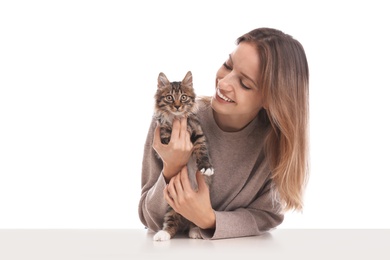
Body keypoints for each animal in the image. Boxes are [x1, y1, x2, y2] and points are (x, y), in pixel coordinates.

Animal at [152, 70, 215, 242]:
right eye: (169, 97)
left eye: (184, 97)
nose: (177, 106)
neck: (177, 118)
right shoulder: (164, 134)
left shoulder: (197, 132)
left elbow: (202, 151)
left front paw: (206, 167)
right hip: (172, 204)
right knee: (171, 221)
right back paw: (163, 234)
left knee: (194, 221)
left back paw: (195, 231)